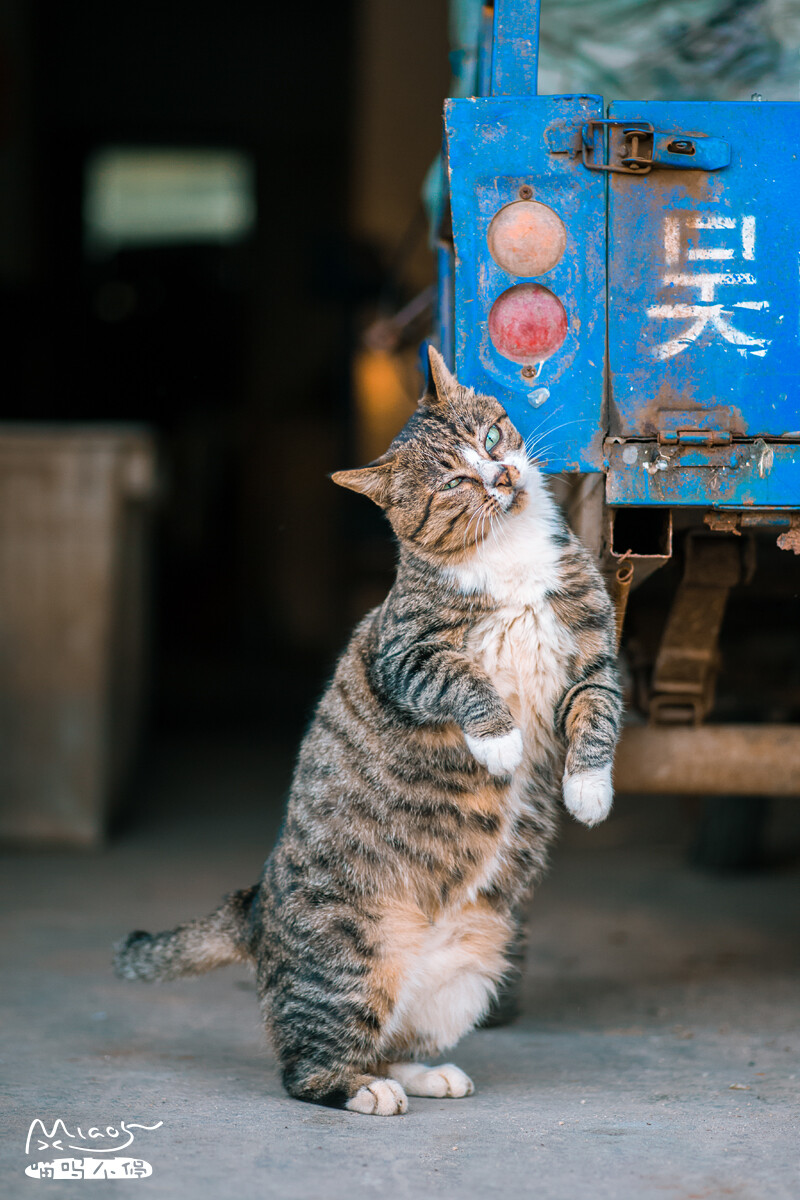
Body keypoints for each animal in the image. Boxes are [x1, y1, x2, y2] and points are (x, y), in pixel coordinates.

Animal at [113, 348, 623, 1113]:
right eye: (455, 482)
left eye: (492, 437)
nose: (502, 475)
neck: (509, 554)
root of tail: (255, 904)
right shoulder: (403, 655)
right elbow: (463, 679)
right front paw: (499, 739)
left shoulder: (591, 653)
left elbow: (600, 712)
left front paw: (589, 789)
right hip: (352, 960)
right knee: (306, 1068)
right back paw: (362, 1092)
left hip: (472, 971)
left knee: (395, 1038)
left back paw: (425, 1073)